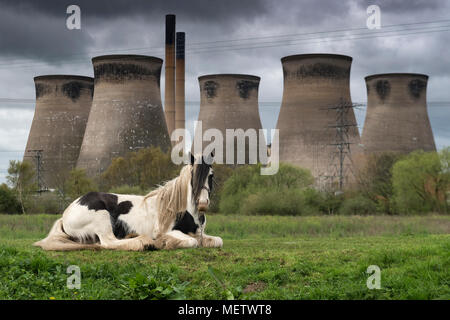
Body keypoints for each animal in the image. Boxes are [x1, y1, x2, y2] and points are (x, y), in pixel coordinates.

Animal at [33, 151, 223, 251]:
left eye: (211, 175)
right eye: (193, 176)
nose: (203, 204)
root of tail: (66, 214)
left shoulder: (200, 233)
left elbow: (217, 240)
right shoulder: (168, 231)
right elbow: (191, 242)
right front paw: (163, 242)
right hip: (101, 218)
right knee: (108, 242)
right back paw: (144, 242)